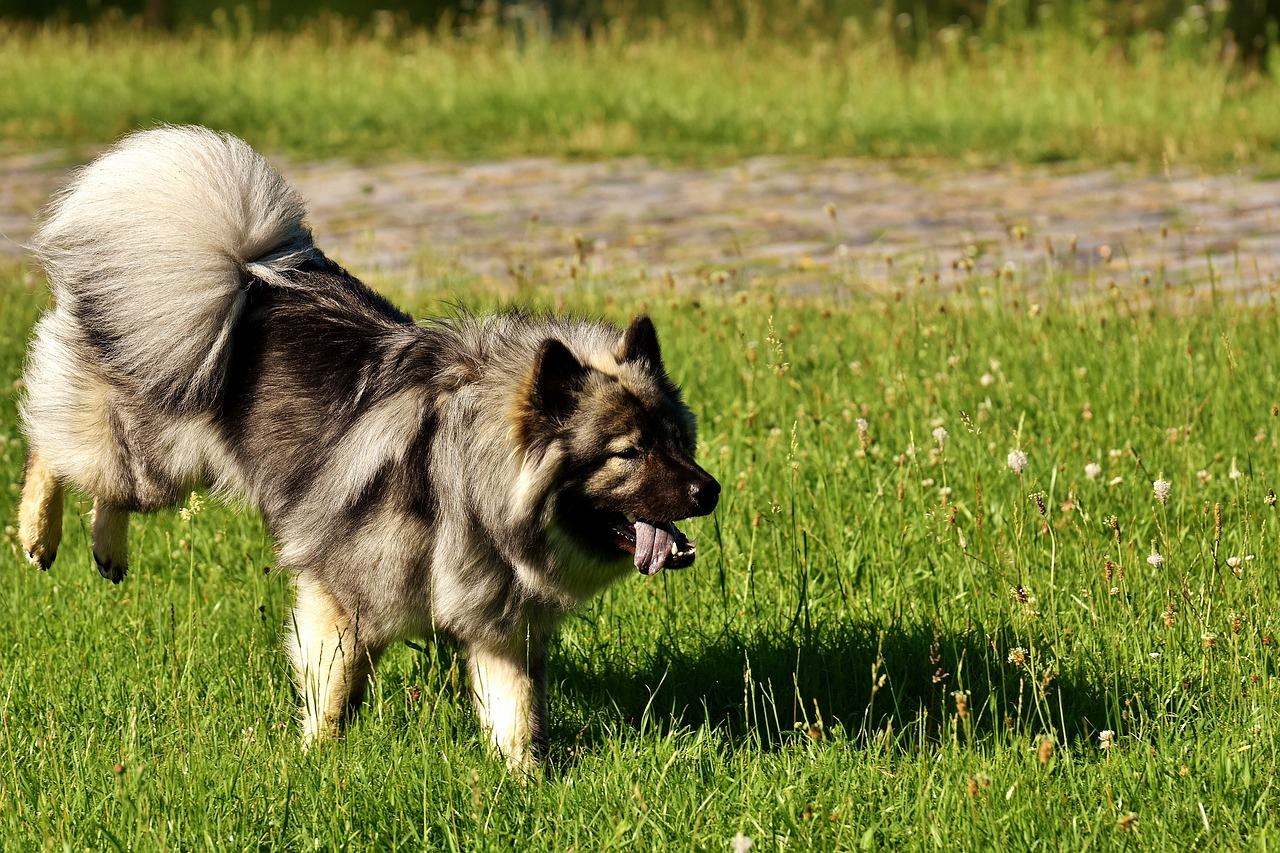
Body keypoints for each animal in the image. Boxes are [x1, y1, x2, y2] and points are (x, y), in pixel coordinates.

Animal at [17, 126, 721, 768]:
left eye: (677, 442)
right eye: (627, 453)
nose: (709, 491)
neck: (467, 478)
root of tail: (240, 272)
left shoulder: (500, 627)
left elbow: (516, 716)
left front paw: (526, 786)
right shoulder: (343, 598)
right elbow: (335, 695)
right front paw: (316, 762)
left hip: (166, 466)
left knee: (101, 485)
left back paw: (106, 549)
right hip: (146, 450)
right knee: (54, 448)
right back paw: (38, 533)